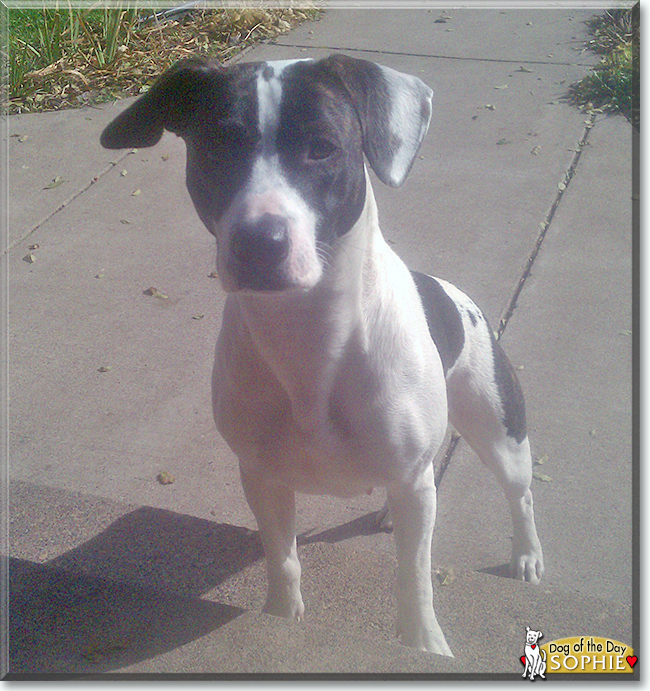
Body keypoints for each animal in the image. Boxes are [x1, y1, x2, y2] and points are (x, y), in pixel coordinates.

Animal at [101, 55, 544, 660]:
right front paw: (280, 617)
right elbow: (283, 558)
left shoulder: (413, 481)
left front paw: (424, 642)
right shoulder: (262, 477)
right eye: (216, 146)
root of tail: (454, 294)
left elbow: (414, 576)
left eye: (322, 148)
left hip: (498, 429)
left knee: (518, 493)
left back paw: (527, 554)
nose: (258, 242)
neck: (309, 335)